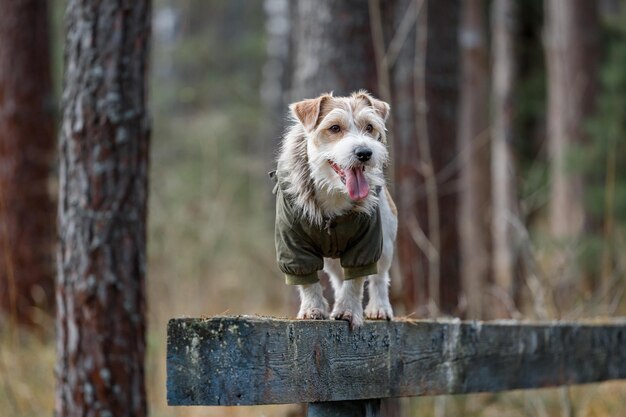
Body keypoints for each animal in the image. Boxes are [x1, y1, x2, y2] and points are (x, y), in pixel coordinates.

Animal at [272, 89, 394, 326]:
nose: (364, 152)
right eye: (335, 128)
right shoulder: (293, 244)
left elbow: (356, 280)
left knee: (380, 277)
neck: (333, 192)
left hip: (386, 242)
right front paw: (313, 308)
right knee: (339, 279)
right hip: (331, 260)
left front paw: (348, 311)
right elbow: (307, 280)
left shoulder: (366, 242)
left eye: (369, 127)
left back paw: (379, 308)